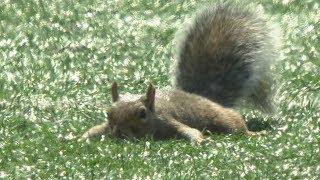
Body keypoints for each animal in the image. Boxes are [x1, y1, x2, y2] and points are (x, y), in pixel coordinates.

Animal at [79, 1, 280, 145]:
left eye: (143, 113)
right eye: (108, 113)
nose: (119, 133)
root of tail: (209, 99)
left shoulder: (168, 119)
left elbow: (188, 130)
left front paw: (198, 140)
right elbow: (95, 130)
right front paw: (80, 137)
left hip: (223, 118)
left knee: (236, 126)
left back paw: (253, 133)